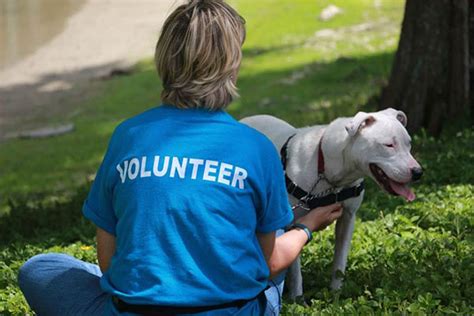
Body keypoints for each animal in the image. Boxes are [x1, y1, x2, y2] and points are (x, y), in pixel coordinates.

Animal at [241, 110, 422, 300]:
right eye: (389, 145)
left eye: (409, 144)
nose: (418, 172)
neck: (328, 169)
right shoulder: (292, 225)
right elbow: (296, 270)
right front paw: (297, 299)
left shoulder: (348, 218)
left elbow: (339, 261)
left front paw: (336, 294)